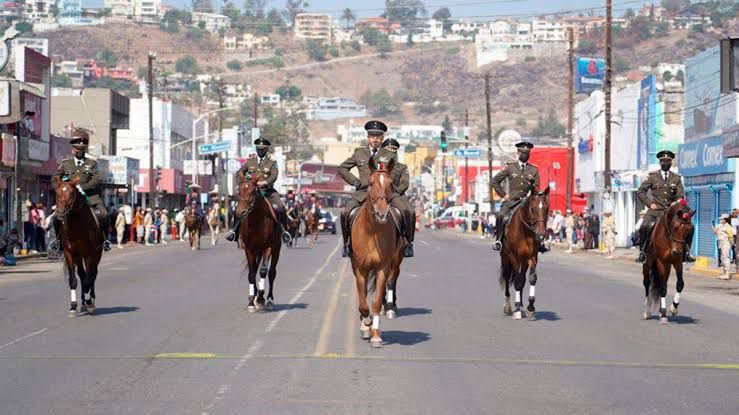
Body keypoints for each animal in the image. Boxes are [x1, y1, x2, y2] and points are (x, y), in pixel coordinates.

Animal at [53, 176, 104, 316]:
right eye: (56, 193)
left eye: (71, 193)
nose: (60, 213)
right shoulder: (69, 254)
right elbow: (74, 280)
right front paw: (73, 306)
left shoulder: (90, 254)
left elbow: (88, 279)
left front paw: (89, 302)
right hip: (78, 257)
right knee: (82, 275)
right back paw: (82, 303)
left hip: (96, 254)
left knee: (92, 275)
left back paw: (90, 300)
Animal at [237, 172, 284, 312]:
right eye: (239, 190)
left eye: (253, 191)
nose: (240, 212)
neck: (256, 220)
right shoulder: (249, 249)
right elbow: (251, 273)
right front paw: (251, 301)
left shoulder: (267, 247)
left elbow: (263, 271)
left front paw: (261, 298)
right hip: (256, 251)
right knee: (255, 269)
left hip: (276, 248)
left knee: (272, 272)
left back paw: (269, 299)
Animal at [352, 158, 404, 350]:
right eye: (371, 183)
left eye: (390, 184)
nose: (382, 213)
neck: (373, 230)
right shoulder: (360, 269)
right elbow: (363, 303)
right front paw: (365, 324)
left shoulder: (382, 267)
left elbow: (374, 302)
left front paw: (375, 334)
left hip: (396, 261)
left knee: (391, 280)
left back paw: (388, 308)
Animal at [498, 188, 548, 322]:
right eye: (533, 208)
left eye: (546, 208)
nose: (541, 234)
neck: (525, 231)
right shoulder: (513, 257)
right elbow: (516, 280)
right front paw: (516, 310)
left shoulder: (533, 257)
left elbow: (532, 278)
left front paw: (530, 307)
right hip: (505, 258)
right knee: (508, 277)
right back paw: (509, 306)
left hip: (524, 261)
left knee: (522, 279)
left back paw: (520, 304)